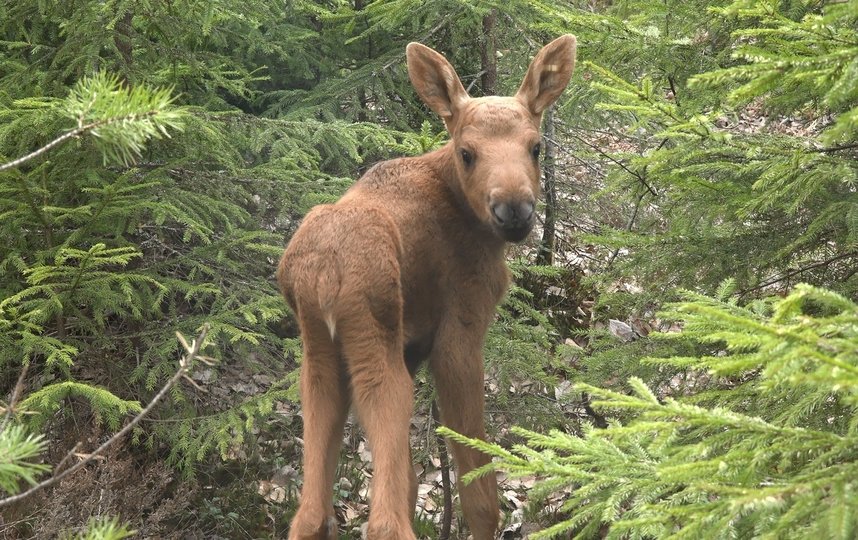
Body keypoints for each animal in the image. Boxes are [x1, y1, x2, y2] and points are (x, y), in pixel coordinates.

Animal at [280, 35, 576, 536]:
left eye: (535, 147)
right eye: (467, 152)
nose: (513, 211)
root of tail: (321, 275)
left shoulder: (413, 345)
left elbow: (414, 481)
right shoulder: (459, 333)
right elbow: (479, 491)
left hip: (319, 358)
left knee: (310, 513)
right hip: (376, 348)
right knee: (384, 522)